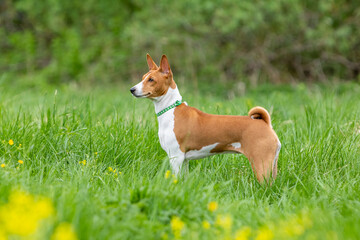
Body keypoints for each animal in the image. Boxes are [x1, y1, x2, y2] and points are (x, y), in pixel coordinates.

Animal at [130, 54, 282, 182]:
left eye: (151, 80)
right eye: (143, 77)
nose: (132, 89)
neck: (171, 111)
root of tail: (265, 123)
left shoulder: (176, 157)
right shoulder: (184, 160)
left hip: (261, 164)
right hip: (271, 165)